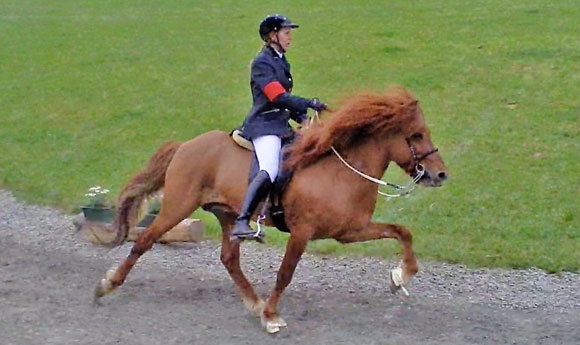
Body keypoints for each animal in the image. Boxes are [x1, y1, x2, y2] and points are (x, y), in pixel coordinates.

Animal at [94, 84, 448, 332]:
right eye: (416, 135)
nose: (441, 175)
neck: (340, 171)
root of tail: (185, 146)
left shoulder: (350, 230)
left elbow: (401, 232)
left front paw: (401, 276)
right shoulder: (302, 232)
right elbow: (285, 273)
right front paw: (271, 316)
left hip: (227, 214)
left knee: (229, 259)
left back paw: (252, 302)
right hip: (177, 207)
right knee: (144, 241)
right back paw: (106, 286)